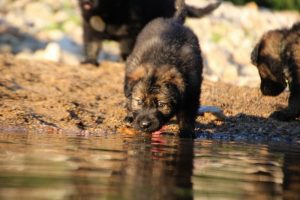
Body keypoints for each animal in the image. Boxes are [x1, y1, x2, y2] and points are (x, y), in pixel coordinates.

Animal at [78, 0, 221, 65]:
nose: (87, 1)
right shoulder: (89, 27)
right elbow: (92, 45)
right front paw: (89, 61)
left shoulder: (132, 29)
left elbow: (126, 47)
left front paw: (123, 60)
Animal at [123, 0, 203, 138]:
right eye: (139, 102)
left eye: (161, 104)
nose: (145, 125)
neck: (161, 59)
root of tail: (174, 21)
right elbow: (129, 100)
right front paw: (130, 116)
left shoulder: (192, 91)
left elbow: (187, 114)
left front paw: (186, 132)